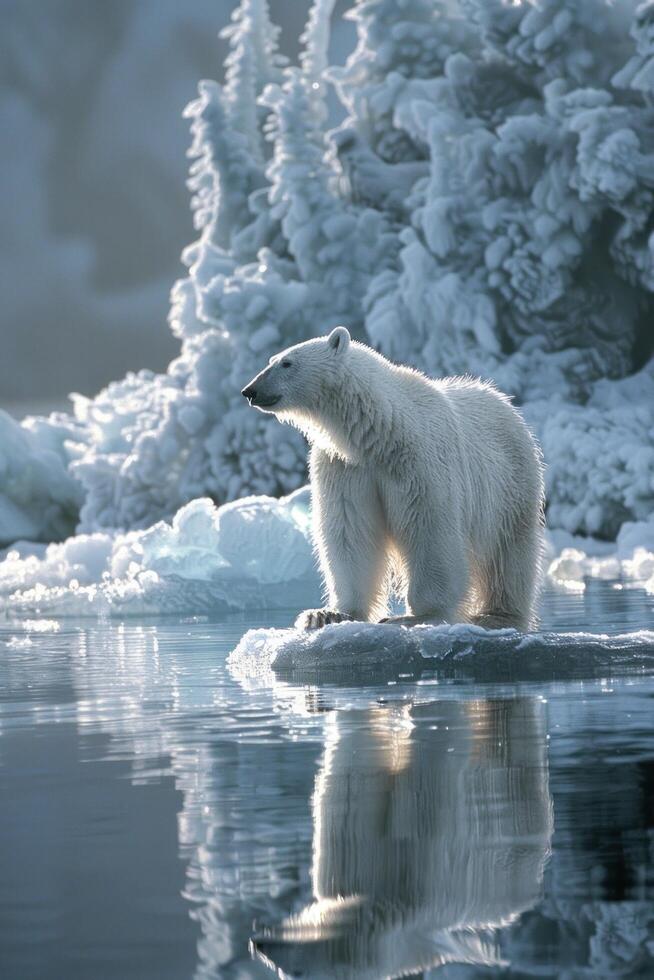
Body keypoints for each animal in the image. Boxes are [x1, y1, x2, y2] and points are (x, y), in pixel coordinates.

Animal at [243, 330, 544, 632]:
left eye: (287, 363)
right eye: (272, 360)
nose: (250, 391)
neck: (381, 432)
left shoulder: (420, 462)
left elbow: (429, 529)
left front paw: (417, 615)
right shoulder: (346, 467)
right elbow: (350, 530)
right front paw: (328, 614)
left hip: (511, 483)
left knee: (509, 551)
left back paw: (498, 615)